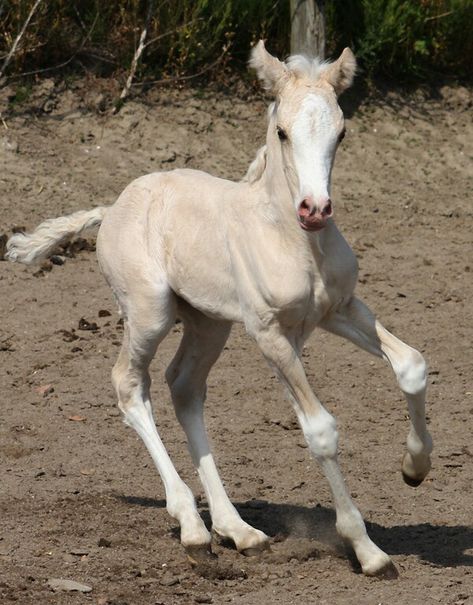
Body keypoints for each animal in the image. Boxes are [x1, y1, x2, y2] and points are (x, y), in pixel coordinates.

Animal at [6, 41, 432, 576]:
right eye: (282, 131)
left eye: (341, 132)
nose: (315, 209)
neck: (295, 240)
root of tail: (112, 207)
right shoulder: (269, 333)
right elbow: (320, 430)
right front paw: (369, 551)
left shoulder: (339, 309)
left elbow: (411, 365)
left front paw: (414, 468)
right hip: (150, 313)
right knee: (130, 384)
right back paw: (192, 526)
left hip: (209, 324)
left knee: (184, 388)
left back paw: (238, 530)